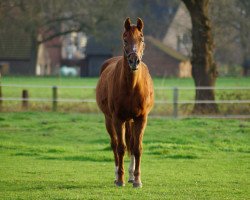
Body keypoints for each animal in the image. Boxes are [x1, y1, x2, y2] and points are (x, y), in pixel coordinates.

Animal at [96, 17, 153, 188]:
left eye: (141, 38)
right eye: (125, 39)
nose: (134, 61)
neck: (132, 87)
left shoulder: (141, 118)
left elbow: (137, 148)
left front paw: (137, 180)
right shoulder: (117, 119)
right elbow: (121, 148)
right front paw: (120, 180)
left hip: (131, 121)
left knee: (132, 143)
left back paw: (131, 176)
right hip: (109, 120)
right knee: (115, 144)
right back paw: (117, 175)